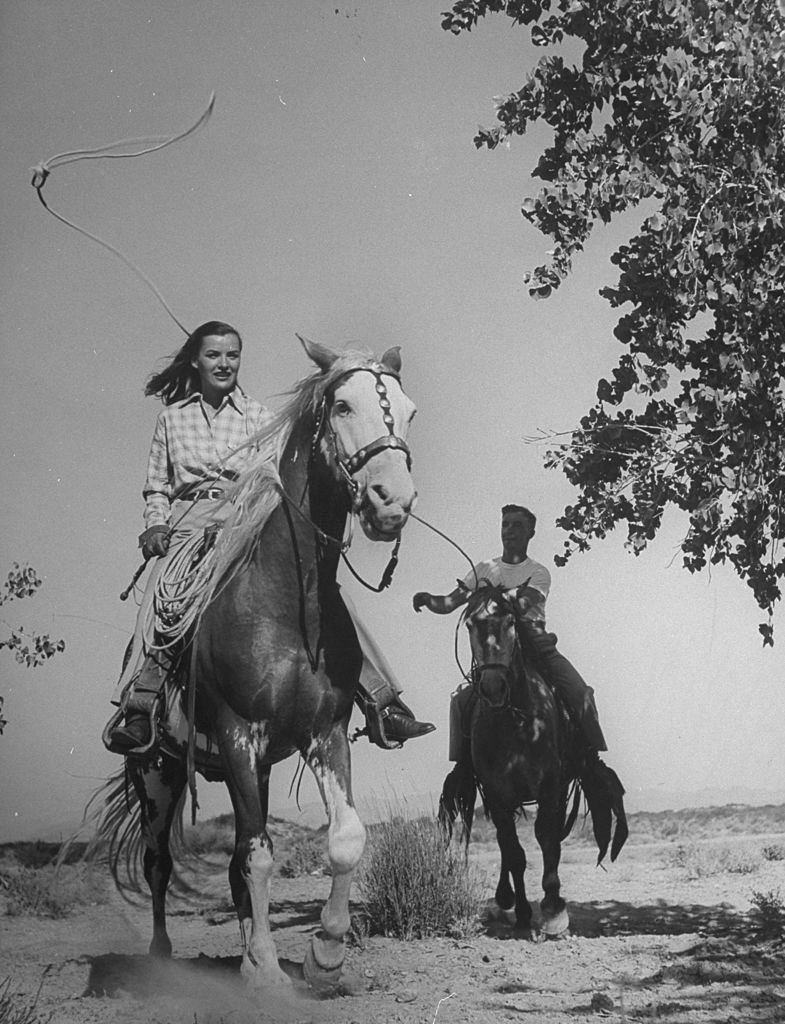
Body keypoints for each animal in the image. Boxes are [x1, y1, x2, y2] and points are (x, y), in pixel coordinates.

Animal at [90, 337, 417, 991]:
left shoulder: (324, 734)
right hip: (159, 772)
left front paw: (322, 956)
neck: (287, 603)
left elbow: (341, 839)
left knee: (239, 852)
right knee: (161, 862)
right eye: (342, 405)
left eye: (409, 411)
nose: (392, 501)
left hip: (255, 769)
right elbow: (259, 856)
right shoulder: (238, 732)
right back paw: (166, 955)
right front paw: (267, 968)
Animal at [442, 581, 626, 937]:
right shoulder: (496, 793)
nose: (493, 686)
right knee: (505, 843)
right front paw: (524, 912)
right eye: (470, 624)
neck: (515, 722)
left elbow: (547, 839)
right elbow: (512, 849)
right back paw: (505, 897)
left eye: (511, 622)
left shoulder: (550, 787)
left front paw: (553, 910)